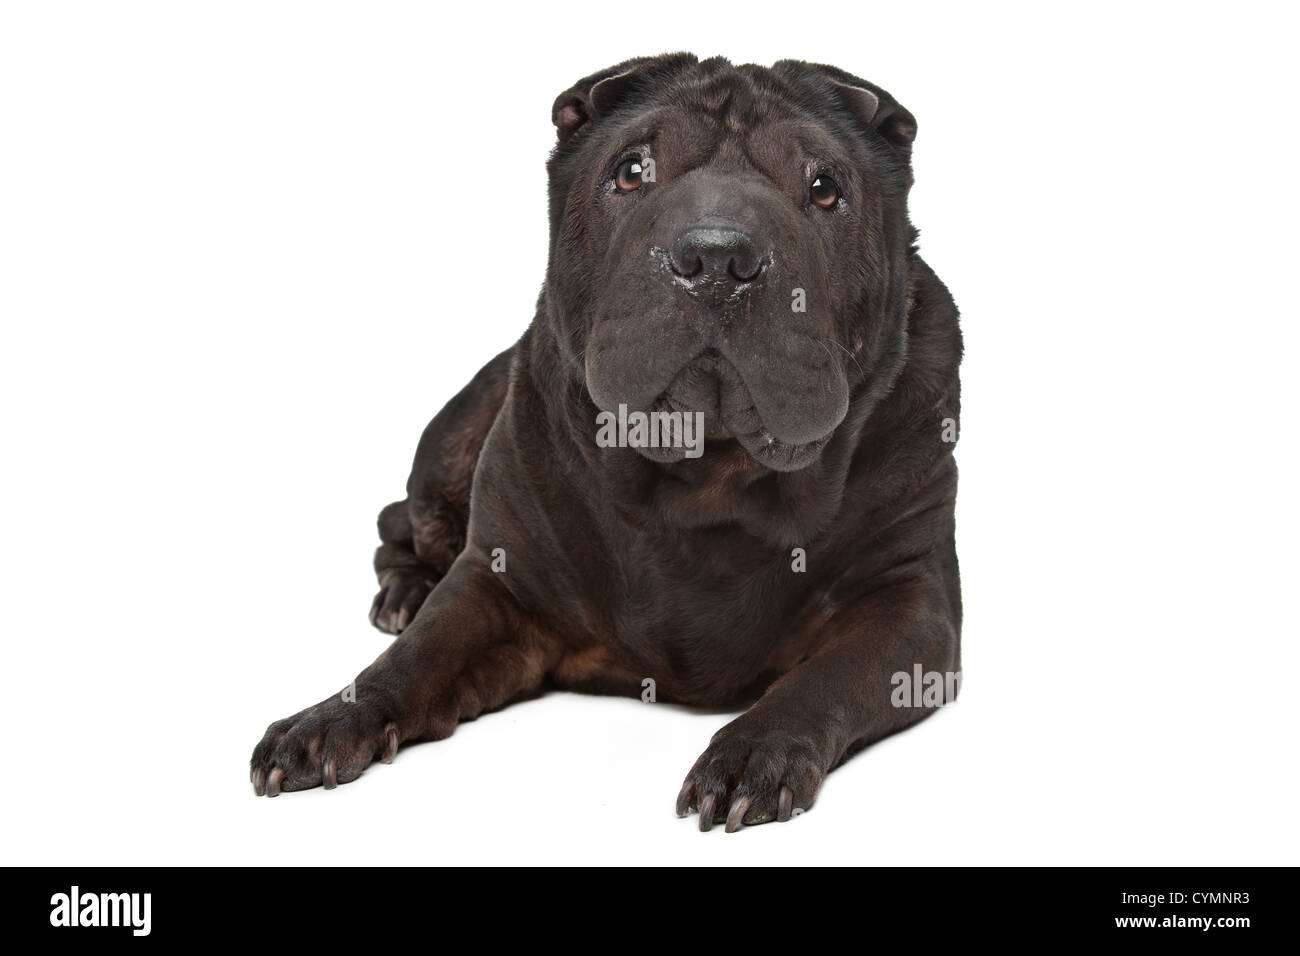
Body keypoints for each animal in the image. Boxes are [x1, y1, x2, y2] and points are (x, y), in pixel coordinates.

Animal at [248, 54, 961, 832]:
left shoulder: (909, 601)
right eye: (632, 171)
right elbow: (414, 657)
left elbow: (822, 679)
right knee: (400, 525)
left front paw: (753, 756)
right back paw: (404, 592)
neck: (711, 473)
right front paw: (325, 721)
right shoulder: (500, 581)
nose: (717, 257)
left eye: (825, 188)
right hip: (451, 451)